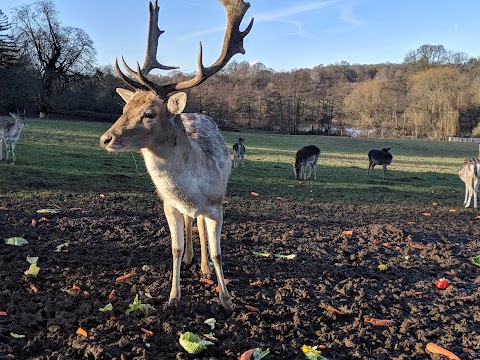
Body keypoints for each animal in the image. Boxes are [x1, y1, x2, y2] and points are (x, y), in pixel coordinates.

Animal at [100, 0, 253, 310]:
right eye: (124, 109)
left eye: (149, 114)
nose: (105, 138)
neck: (192, 190)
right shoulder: (168, 204)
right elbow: (174, 247)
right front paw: (173, 296)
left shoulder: (217, 206)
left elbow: (217, 252)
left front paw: (226, 300)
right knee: (190, 222)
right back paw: (191, 259)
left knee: (201, 229)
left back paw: (204, 267)